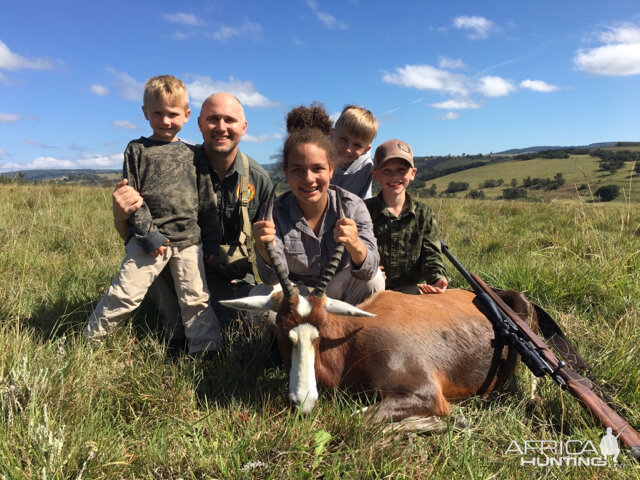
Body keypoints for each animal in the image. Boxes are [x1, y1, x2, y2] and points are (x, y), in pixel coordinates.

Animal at [220, 191, 536, 424]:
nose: (303, 402)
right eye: (282, 328)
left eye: (322, 329)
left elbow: (357, 419)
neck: (351, 340)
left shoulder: (428, 395)